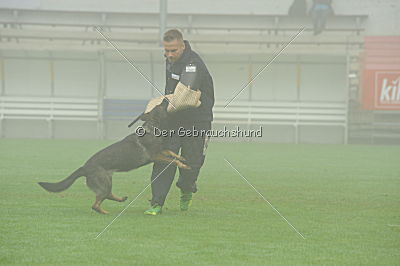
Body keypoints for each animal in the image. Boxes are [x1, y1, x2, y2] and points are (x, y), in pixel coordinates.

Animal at [37, 99, 188, 214]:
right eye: (159, 106)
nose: (166, 98)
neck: (152, 128)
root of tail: (84, 167)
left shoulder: (160, 152)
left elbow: (171, 153)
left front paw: (182, 159)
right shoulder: (155, 156)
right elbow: (171, 159)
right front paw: (181, 164)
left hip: (108, 182)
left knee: (106, 196)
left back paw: (120, 199)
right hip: (104, 183)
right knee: (95, 204)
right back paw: (105, 212)